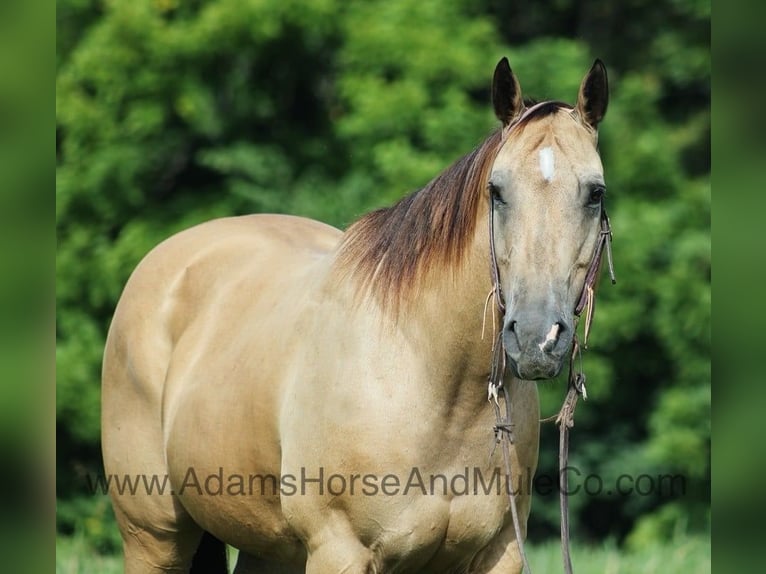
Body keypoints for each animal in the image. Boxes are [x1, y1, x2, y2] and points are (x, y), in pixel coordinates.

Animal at [100, 55, 612, 574]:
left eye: (595, 193)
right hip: (154, 539)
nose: (536, 338)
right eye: (497, 190)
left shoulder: (499, 554)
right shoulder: (339, 551)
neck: (436, 383)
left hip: (268, 545)